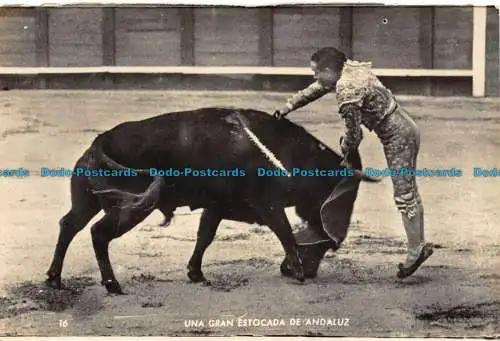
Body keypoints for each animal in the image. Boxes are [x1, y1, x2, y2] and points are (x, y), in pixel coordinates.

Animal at [46, 107, 378, 294]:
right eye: (324, 245)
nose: (311, 272)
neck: (286, 155)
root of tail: (100, 140)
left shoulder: (216, 207)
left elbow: (204, 236)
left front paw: (196, 273)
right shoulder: (267, 204)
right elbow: (285, 233)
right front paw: (297, 273)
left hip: (87, 202)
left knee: (68, 225)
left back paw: (54, 279)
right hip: (130, 209)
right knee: (98, 233)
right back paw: (112, 285)